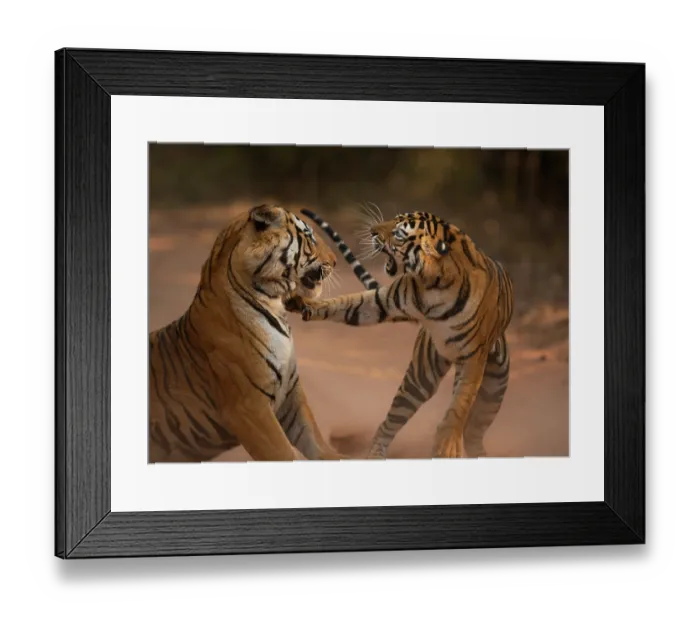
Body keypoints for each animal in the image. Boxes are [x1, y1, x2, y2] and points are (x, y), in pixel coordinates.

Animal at [148, 203, 346, 463]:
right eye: (309, 236)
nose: (335, 261)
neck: (273, 303)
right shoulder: (248, 408)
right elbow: (285, 453)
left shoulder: (290, 395)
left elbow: (317, 443)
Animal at [285, 207, 513, 460]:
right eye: (394, 219)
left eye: (399, 234)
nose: (372, 231)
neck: (436, 282)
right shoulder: (381, 302)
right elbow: (343, 303)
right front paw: (302, 303)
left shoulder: (473, 358)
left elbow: (459, 405)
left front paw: (446, 446)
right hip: (421, 377)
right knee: (390, 422)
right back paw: (374, 455)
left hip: (493, 388)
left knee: (473, 429)